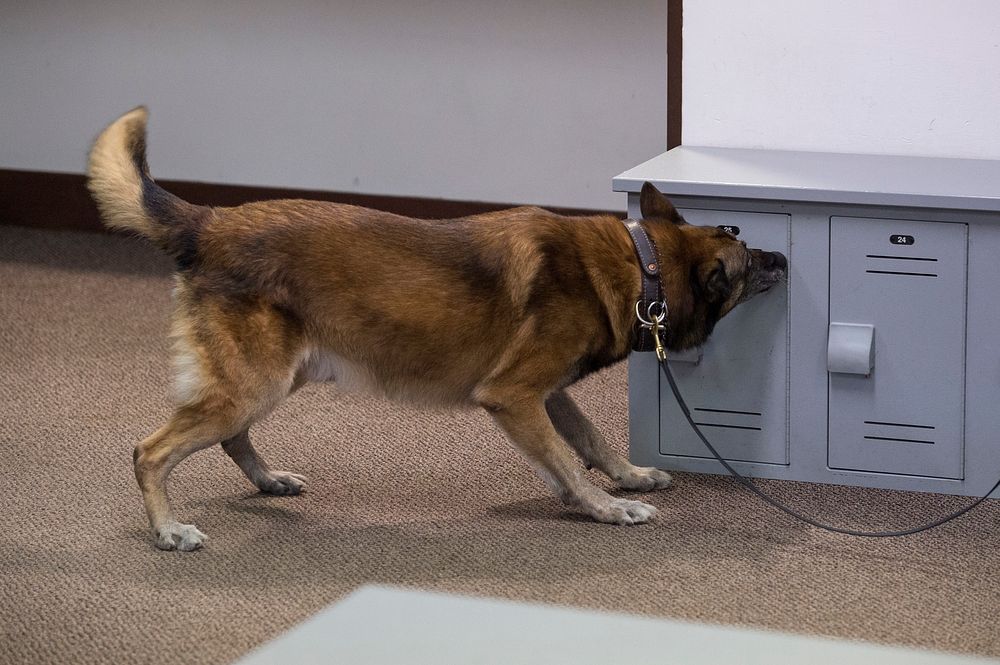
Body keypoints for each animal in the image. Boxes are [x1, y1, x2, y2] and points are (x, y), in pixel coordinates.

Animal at [88, 105, 788, 548]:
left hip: (276, 378)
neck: (639, 267)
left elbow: (592, 442)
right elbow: (567, 461)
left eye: (740, 236)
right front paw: (607, 509)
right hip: (254, 384)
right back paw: (167, 529)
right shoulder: (513, 396)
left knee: (231, 436)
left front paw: (630, 478)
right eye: (744, 260)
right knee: (151, 451)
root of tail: (209, 221)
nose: (781, 258)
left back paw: (268, 479)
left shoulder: (548, 394)